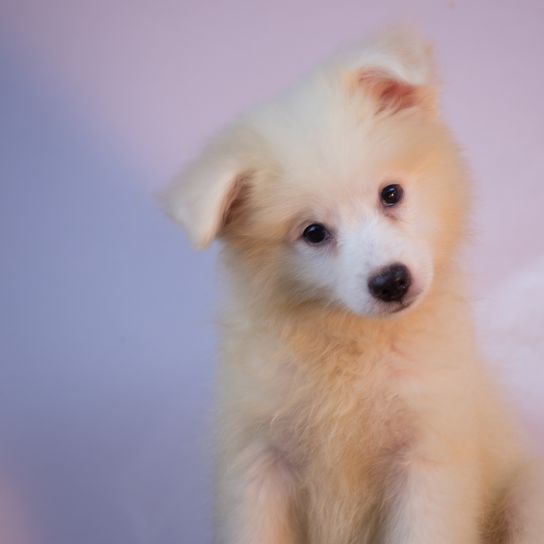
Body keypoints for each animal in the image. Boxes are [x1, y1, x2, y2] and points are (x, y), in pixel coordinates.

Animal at [164, 30, 540, 544]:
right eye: (314, 232)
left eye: (391, 194)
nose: (391, 280)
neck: (353, 343)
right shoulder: (258, 459)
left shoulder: (429, 456)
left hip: (526, 492)